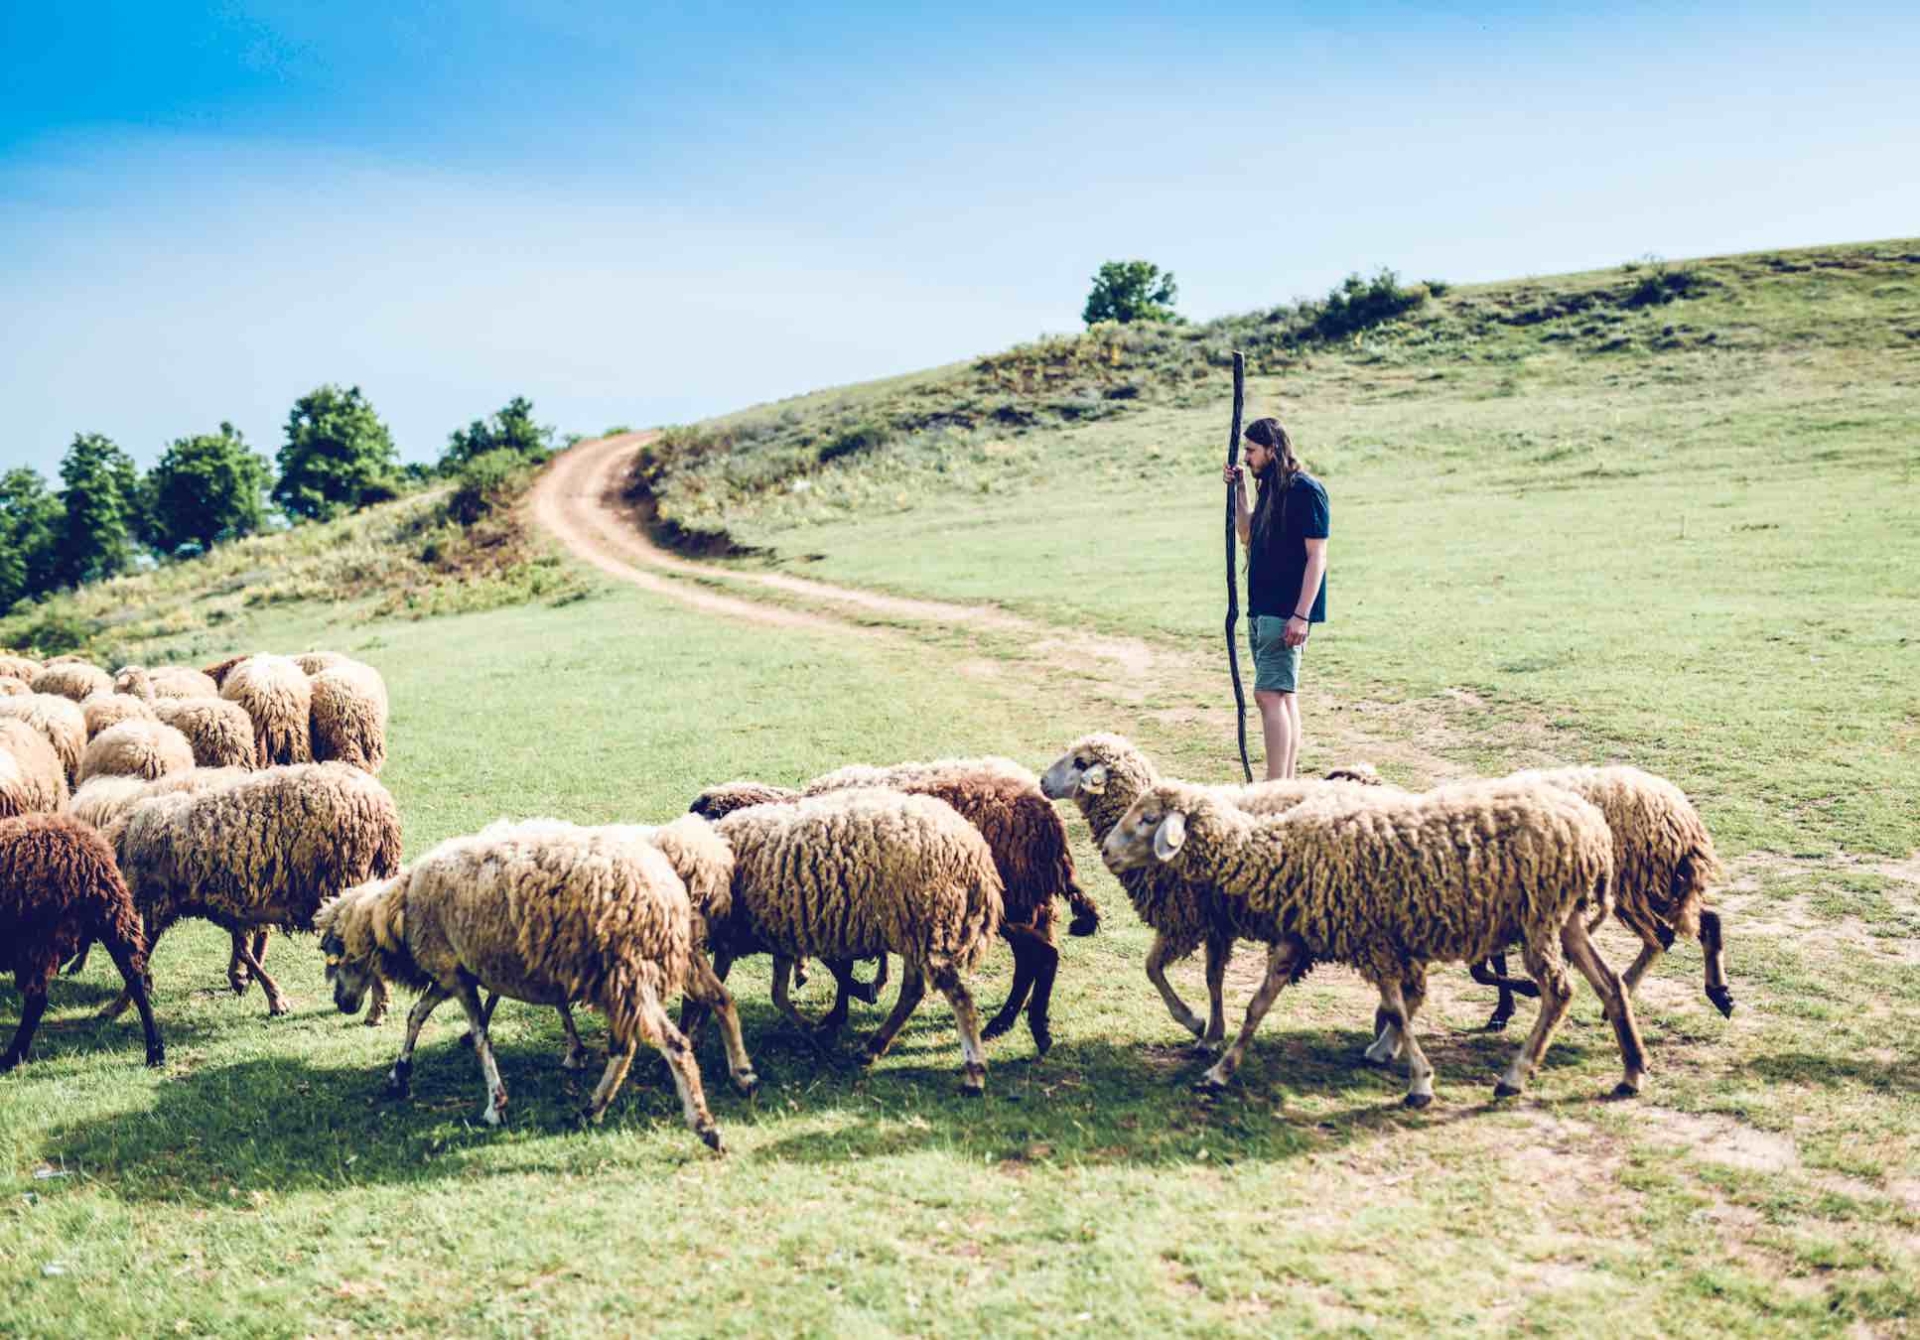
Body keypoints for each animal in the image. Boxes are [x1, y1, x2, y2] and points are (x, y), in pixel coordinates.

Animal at [0, 810, 163, 1067]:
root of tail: (90, 860)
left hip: (41, 937)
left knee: (36, 1000)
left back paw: (12, 1057)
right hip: (116, 920)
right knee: (137, 980)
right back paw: (155, 1052)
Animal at [108, 756, 401, 1021]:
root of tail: (382, 807)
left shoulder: (168, 902)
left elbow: (141, 955)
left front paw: (118, 1005)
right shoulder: (226, 905)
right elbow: (243, 950)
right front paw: (264, 992)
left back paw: (376, 1010)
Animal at [311, 813, 752, 1151]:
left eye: (337, 956)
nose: (341, 1003)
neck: (401, 909)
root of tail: (669, 881)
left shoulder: (454, 973)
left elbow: (481, 1035)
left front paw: (496, 1104)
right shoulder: (455, 971)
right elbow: (417, 1016)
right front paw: (399, 1075)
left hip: (627, 971)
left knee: (669, 1043)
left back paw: (703, 1126)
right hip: (664, 960)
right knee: (716, 1002)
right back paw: (736, 1075)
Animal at [702, 787, 1006, 1090]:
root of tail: (973, 850)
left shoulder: (732, 940)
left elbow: (718, 996)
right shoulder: (779, 935)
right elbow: (777, 993)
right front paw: (816, 1029)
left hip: (929, 927)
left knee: (959, 997)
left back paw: (974, 1072)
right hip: (914, 930)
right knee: (913, 990)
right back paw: (874, 1046)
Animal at [1098, 779, 1651, 1098]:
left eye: (1149, 819)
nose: (1105, 851)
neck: (1284, 851)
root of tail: (1594, 831)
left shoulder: (1374, 941)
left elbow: (1400, 1010)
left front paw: (1420, 1082)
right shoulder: (1299, 936)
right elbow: (1258, 1006)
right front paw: (1220, 1071)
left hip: (1542, 918)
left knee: (1559, 991)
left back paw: (1515, 1076)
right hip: (1567, 919)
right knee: (1609, 983)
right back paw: (1631, 1072)